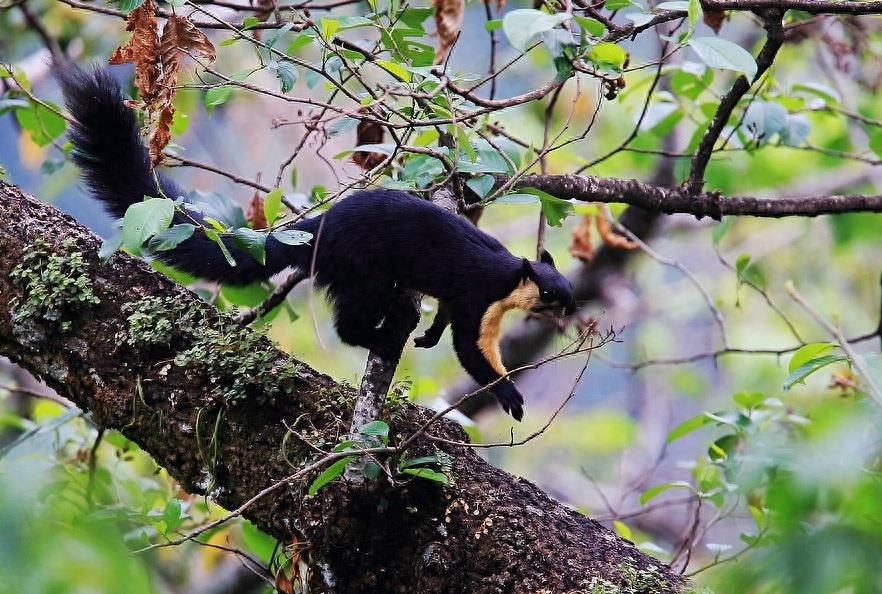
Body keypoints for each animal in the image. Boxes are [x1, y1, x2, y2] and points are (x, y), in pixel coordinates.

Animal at [58, 65, 576, 418]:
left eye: (569, 291)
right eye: (550, 294)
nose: (571, 312)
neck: (507, 275)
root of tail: (318, 230)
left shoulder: (460, 299)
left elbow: (444, 318)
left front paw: (430, 335)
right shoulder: (478, 299)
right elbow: (471, 351)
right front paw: (510, 396)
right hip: (361, 275)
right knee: (349, 325)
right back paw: (384, 335)